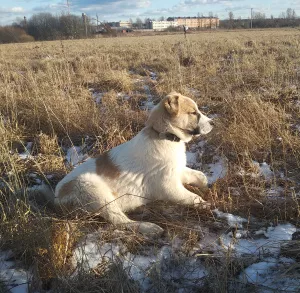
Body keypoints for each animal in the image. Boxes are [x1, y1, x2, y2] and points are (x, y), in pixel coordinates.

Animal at [37, 92, 213, 236]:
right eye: (193, 113)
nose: (213, 123)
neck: (163, 136)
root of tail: (57, 199)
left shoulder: (178, 171)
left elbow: (201, 177)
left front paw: (206, 188)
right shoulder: (169, 188)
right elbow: (194, 198)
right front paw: (207, 205)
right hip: (93, 190)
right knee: (121, 221)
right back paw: (150, 228)